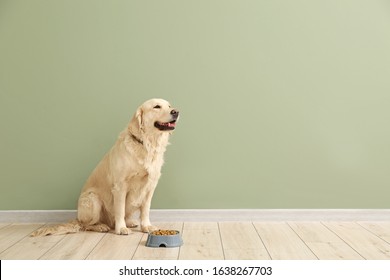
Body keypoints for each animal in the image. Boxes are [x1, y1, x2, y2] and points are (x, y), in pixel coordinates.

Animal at [32, 98, 178, 236]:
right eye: (156, 106)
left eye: (169, 106)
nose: (176, 112)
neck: (146, 144)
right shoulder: (120, 186)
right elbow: (120, 210)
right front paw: (121, 229)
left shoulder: (150, 186)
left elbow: (145, 210)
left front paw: (146, 226)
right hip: (92, 199)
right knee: (85, 225)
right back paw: (101, 226)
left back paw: (130, 222)